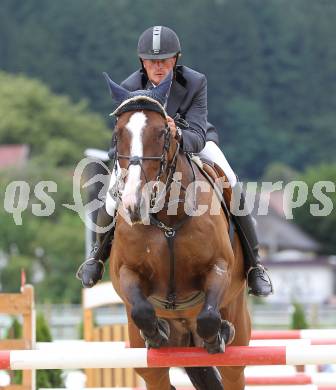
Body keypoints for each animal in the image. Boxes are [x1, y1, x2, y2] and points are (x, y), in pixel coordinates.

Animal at [103, 71, 251, 388]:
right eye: (118, 135)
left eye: (162, 133)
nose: (133, 204)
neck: (168, 219)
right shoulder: (126, 272)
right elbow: (142, 309)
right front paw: (156, 332)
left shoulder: (218, 266)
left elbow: (209, 317)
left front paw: (219, 334)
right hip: (146, 360)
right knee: (157, 376)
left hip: (239, 331)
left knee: (234, 369)